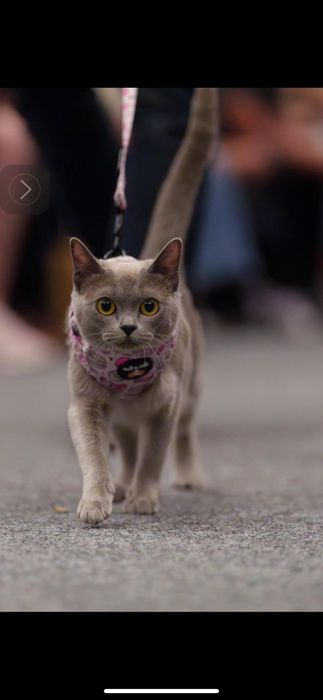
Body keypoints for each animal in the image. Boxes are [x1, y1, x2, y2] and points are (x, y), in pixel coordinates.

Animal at [67, 87, 219, 524]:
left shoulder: (164, 408)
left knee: (184, 432)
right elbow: (95, 457)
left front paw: (143, 499)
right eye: (105, 306)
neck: (125, 377)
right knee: (128, 446)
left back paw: (186, 476)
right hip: (123, 420)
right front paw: (96, 502)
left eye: (149, 307)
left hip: (192, 384)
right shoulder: (84, 406)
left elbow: (154, 456)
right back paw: (120, 485)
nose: (129, 326)